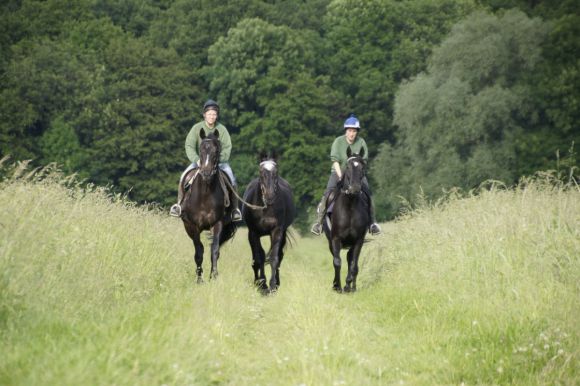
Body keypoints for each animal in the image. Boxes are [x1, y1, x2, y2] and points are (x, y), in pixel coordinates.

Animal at [180, 128, 237, 282]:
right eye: (201, 150)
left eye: (216, 151)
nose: (206, 172)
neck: (205, 193)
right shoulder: (193, 226)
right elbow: (199, 251)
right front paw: (199, 279)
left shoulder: (217, 224)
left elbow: (214, 250)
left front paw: (214, 276)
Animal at [241, 151, 294, 292]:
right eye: (261, 172)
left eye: (276, 172)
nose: (269, 196)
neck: (265, 208)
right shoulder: (254, 233)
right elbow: (259, 257)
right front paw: (262, 285)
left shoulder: (277, 231)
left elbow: (274, 258)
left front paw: (272, 286)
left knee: (279, 255)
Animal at [324, 148, 370, 292]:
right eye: (348, 166)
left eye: (362, 167)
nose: (354, 188)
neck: (350, 206)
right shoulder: (335, 239)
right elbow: (337, 262)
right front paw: (337, 286)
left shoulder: (358, 241)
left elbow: (354, 265)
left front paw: (348, 284)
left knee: (351, 260)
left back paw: (351, 286)